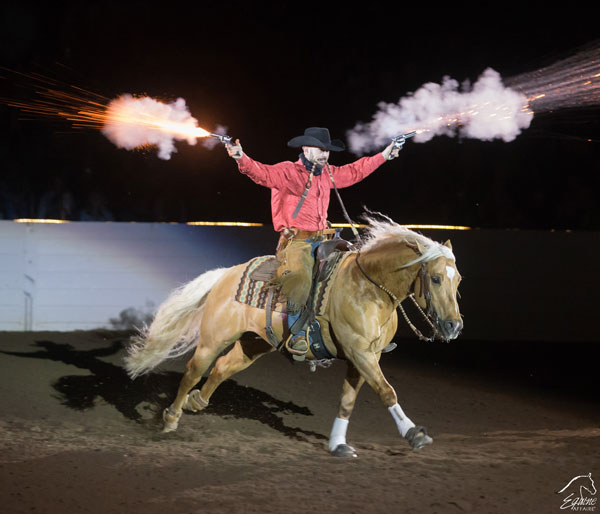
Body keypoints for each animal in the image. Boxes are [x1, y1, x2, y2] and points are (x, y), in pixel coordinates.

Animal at [125, 214, 464, 454]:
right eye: (435, 278)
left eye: (457, 279)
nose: (454, 326)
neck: (368, 287)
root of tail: (227, 274)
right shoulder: (360, 352)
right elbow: (386, 391)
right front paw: (414, 434)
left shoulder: (364, 357)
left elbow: (347, 400)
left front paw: (338, 445)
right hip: (214, 339)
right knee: (194, 371)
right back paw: (171, 418)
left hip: (253, 344)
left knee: (221, 369)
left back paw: (196, 403)